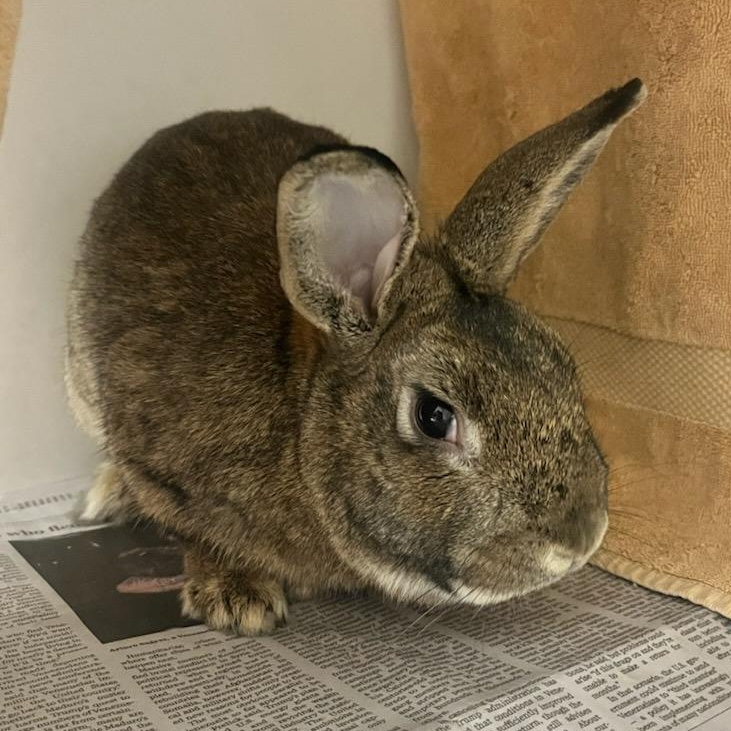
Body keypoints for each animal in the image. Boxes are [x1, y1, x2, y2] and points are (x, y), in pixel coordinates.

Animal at [66, 79, 646, 635]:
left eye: (563, 368)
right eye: (434, 416)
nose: (582, 538)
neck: (299, 420)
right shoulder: (157, 469)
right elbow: (195, 534)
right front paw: (237, 600)